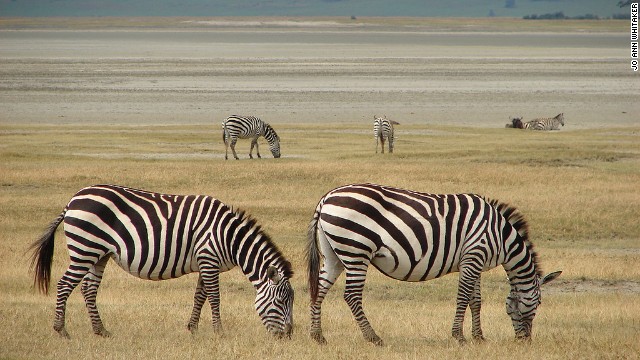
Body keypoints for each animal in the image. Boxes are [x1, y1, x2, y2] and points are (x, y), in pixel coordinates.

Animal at [30, 184, 296, 338]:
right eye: (281, 302)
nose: (289, 335)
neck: (228, 236)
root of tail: (73, 200)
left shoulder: (206, 263)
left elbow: (200, 296)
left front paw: (193, 328)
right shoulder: (208, 259)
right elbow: (214, 297)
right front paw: (219, 332)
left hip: (99, 254)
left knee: (88, 289)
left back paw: (100, 330)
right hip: (84, 249)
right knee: (65, 285)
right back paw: (61, 330)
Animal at [304, 184, 560, 344]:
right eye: (538, 303)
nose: (525, 341)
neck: (501, 237)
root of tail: (326, 198)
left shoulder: (475, 262)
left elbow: (476, 301)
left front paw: (479, 337)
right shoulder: (473, 256)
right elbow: (463, 298)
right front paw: (459, 336)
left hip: (335, 253)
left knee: (319, 289)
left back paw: (317, 336)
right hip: (356, 249)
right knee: (352, 295)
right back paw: (373, 337)